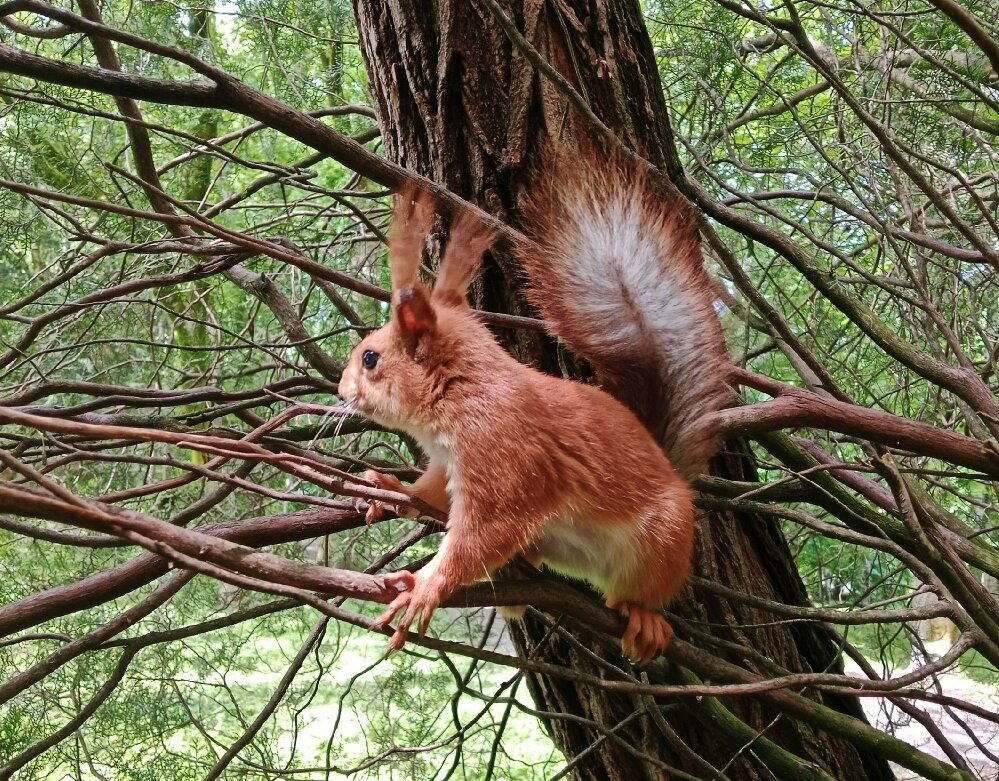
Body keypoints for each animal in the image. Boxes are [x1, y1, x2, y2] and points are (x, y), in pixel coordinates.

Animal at [337, 156, 730, 662]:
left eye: (370, 359)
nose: (340, 388)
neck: (458, 393)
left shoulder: (504, 456)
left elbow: (482, 533)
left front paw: (425, 585)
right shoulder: (449, 466)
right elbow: (431, 495)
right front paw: (385, 487)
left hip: (661, 542)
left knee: (637, 593)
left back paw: (644, 618)